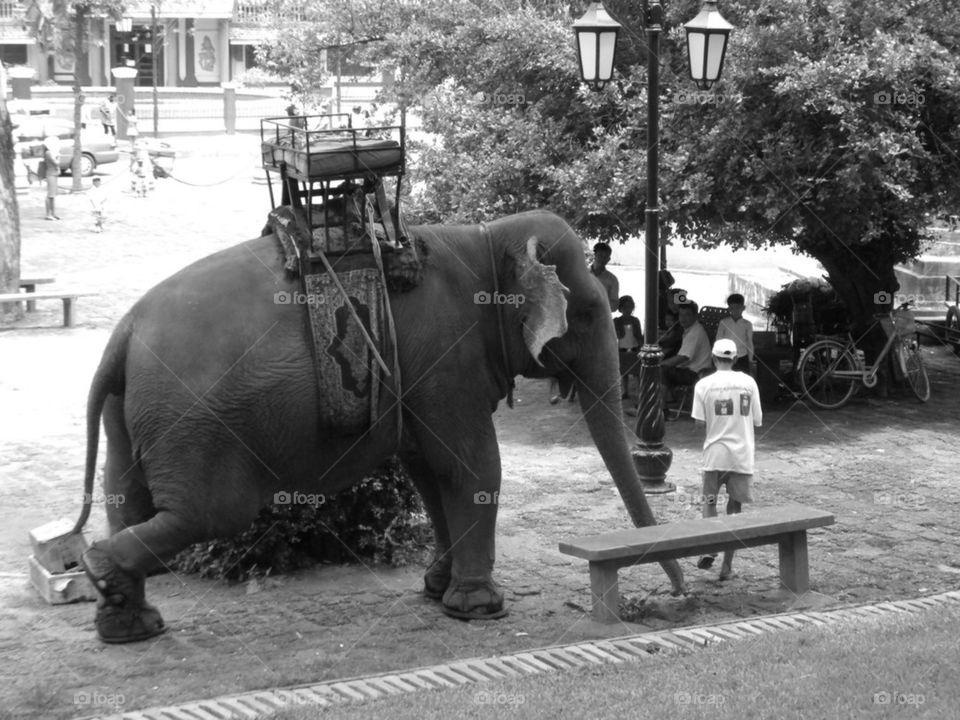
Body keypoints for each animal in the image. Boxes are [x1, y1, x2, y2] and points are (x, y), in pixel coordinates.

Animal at [73, 209, 686, 643]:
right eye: (587, 312)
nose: (680, 600)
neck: (488, 236)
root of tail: (121, 334)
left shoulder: (421, 373)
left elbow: (428, 470)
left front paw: (438, 591)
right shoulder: (446, 358)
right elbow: (471, 466)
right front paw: (480, 609)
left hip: (131, 412)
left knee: (125, 499)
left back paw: (125, 623)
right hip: (191, 424)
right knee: (209, 512)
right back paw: (101, 573)